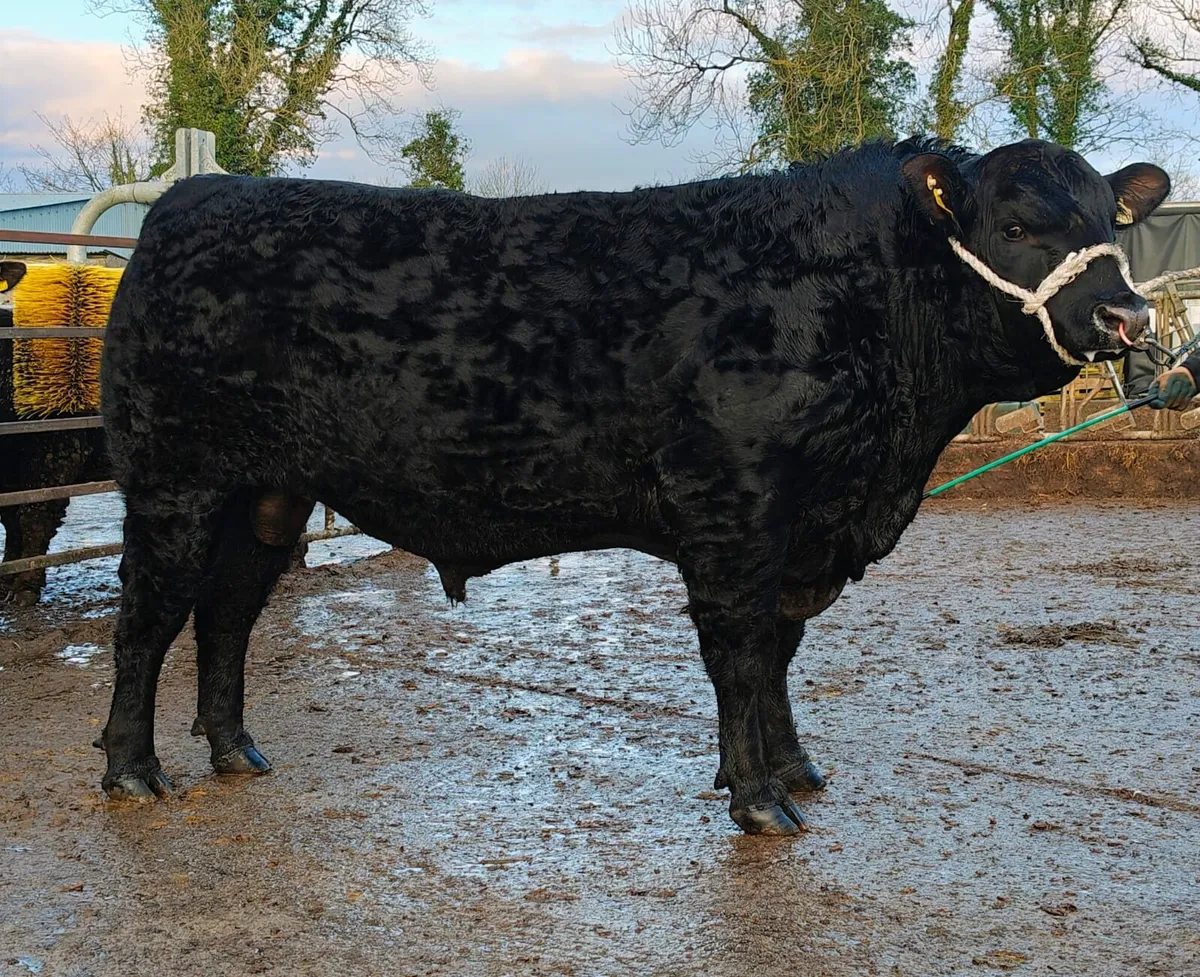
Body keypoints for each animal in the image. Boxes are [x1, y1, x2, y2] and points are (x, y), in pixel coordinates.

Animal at [95, 138, 1169, 834]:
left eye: (1109, 222)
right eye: (1019, 223)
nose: (1125, 316)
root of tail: (196, 198)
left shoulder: (803, 528)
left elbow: (779, 653)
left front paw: (793, 767)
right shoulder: (735, 506)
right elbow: (739, 650)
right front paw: (759, 799)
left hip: (267, 493)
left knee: (227, 612)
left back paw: (234, 748)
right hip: (172, 480)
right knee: (149, 616)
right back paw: (135, 771)